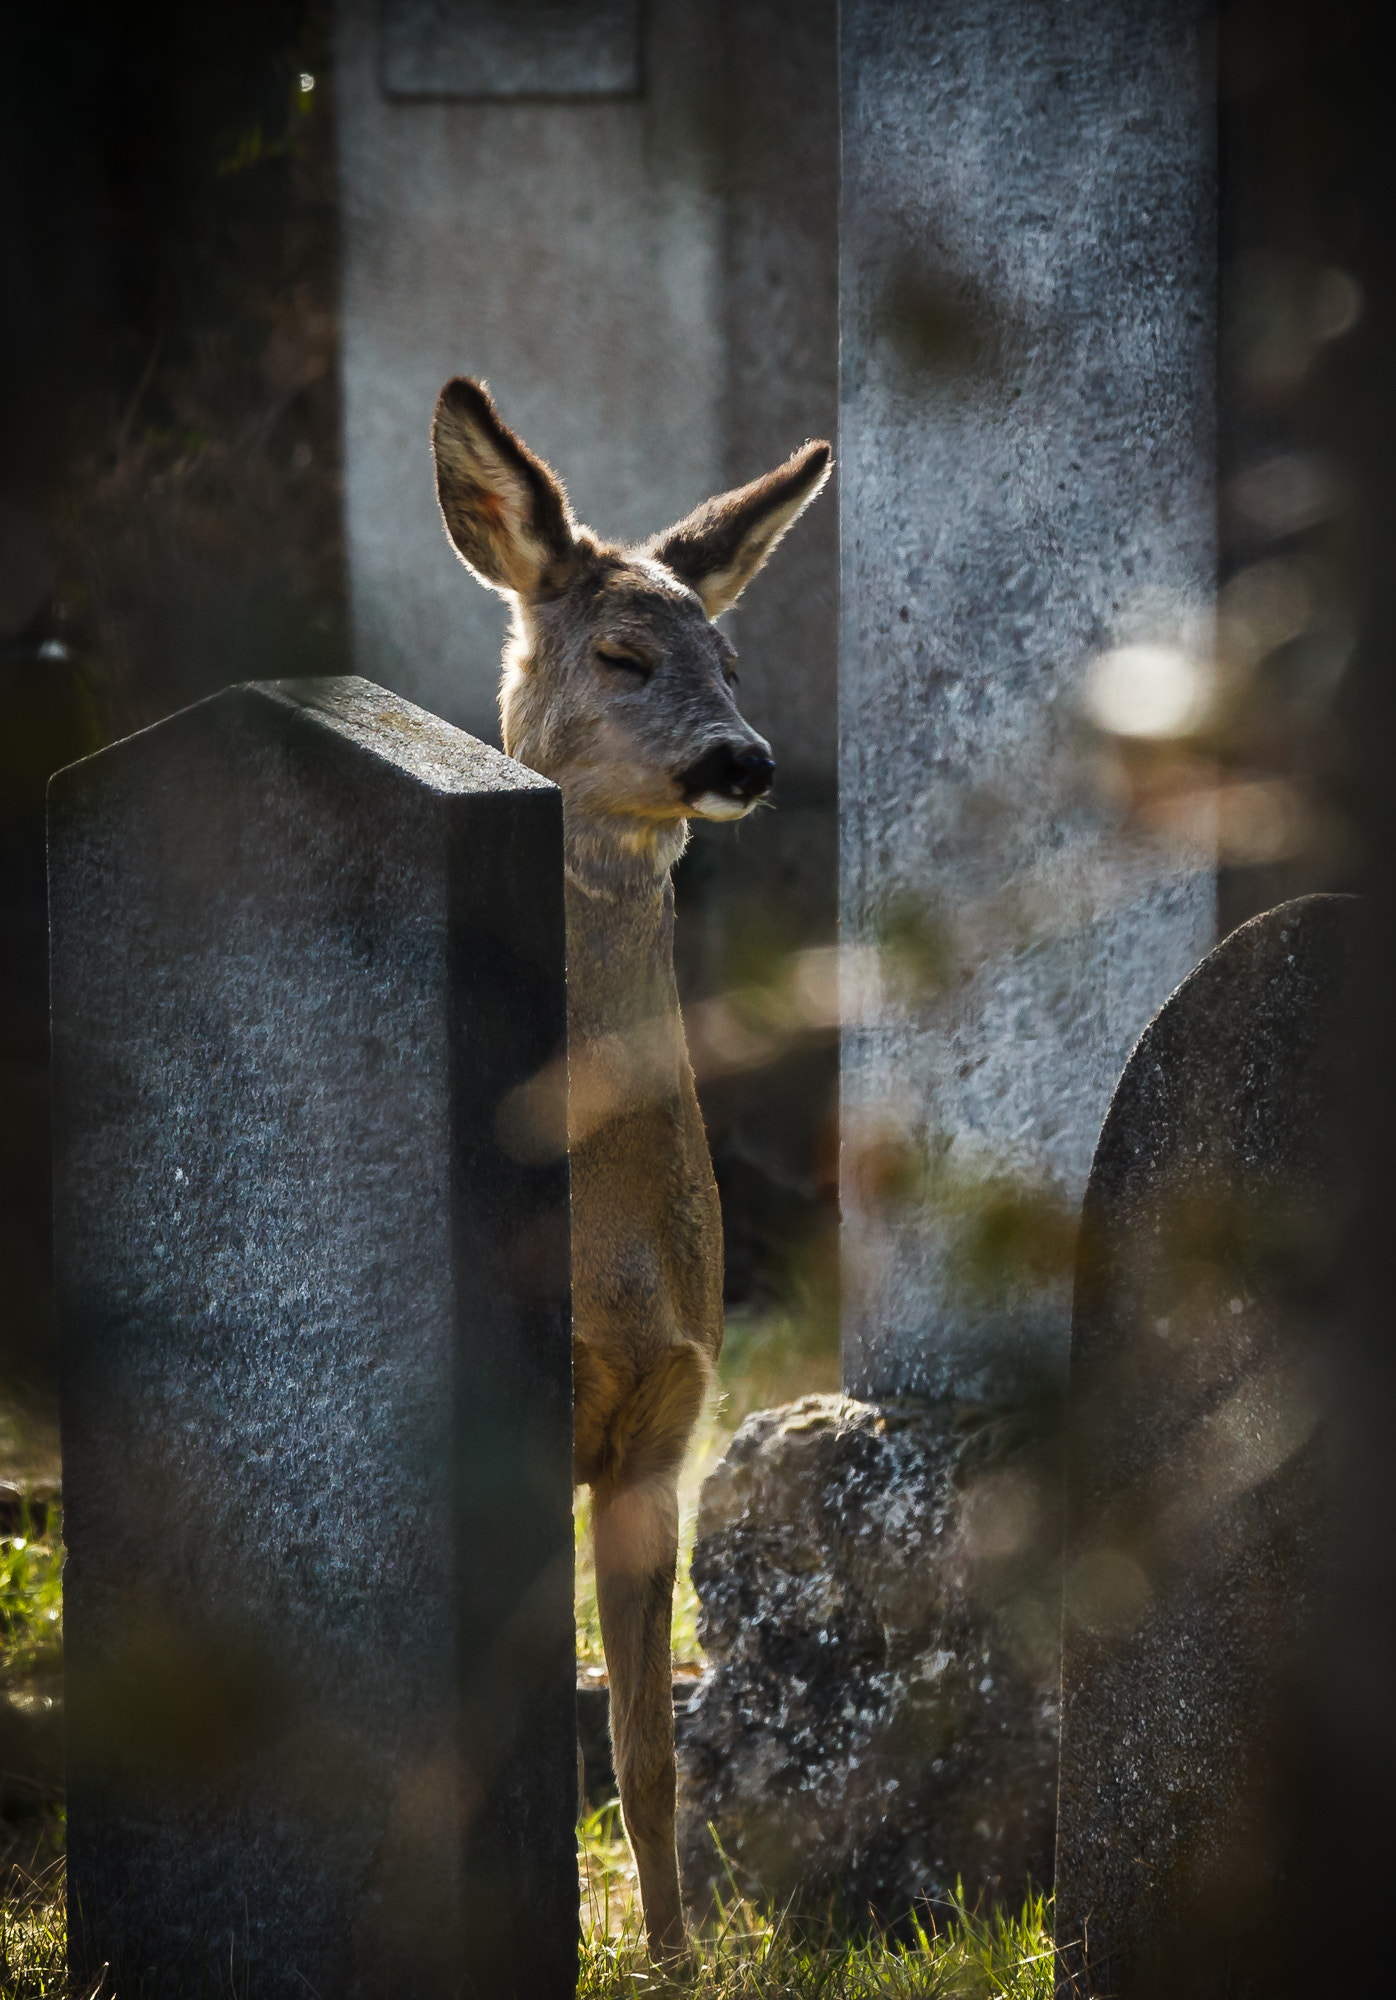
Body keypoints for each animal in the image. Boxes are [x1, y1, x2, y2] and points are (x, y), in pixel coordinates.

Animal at [430, 376, 828, 1952]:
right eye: (621, 650)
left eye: (731, 651)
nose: (746, 759)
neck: (611, 1265)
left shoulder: (664, 1429)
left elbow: (649, 1749)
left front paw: (672, 1954)